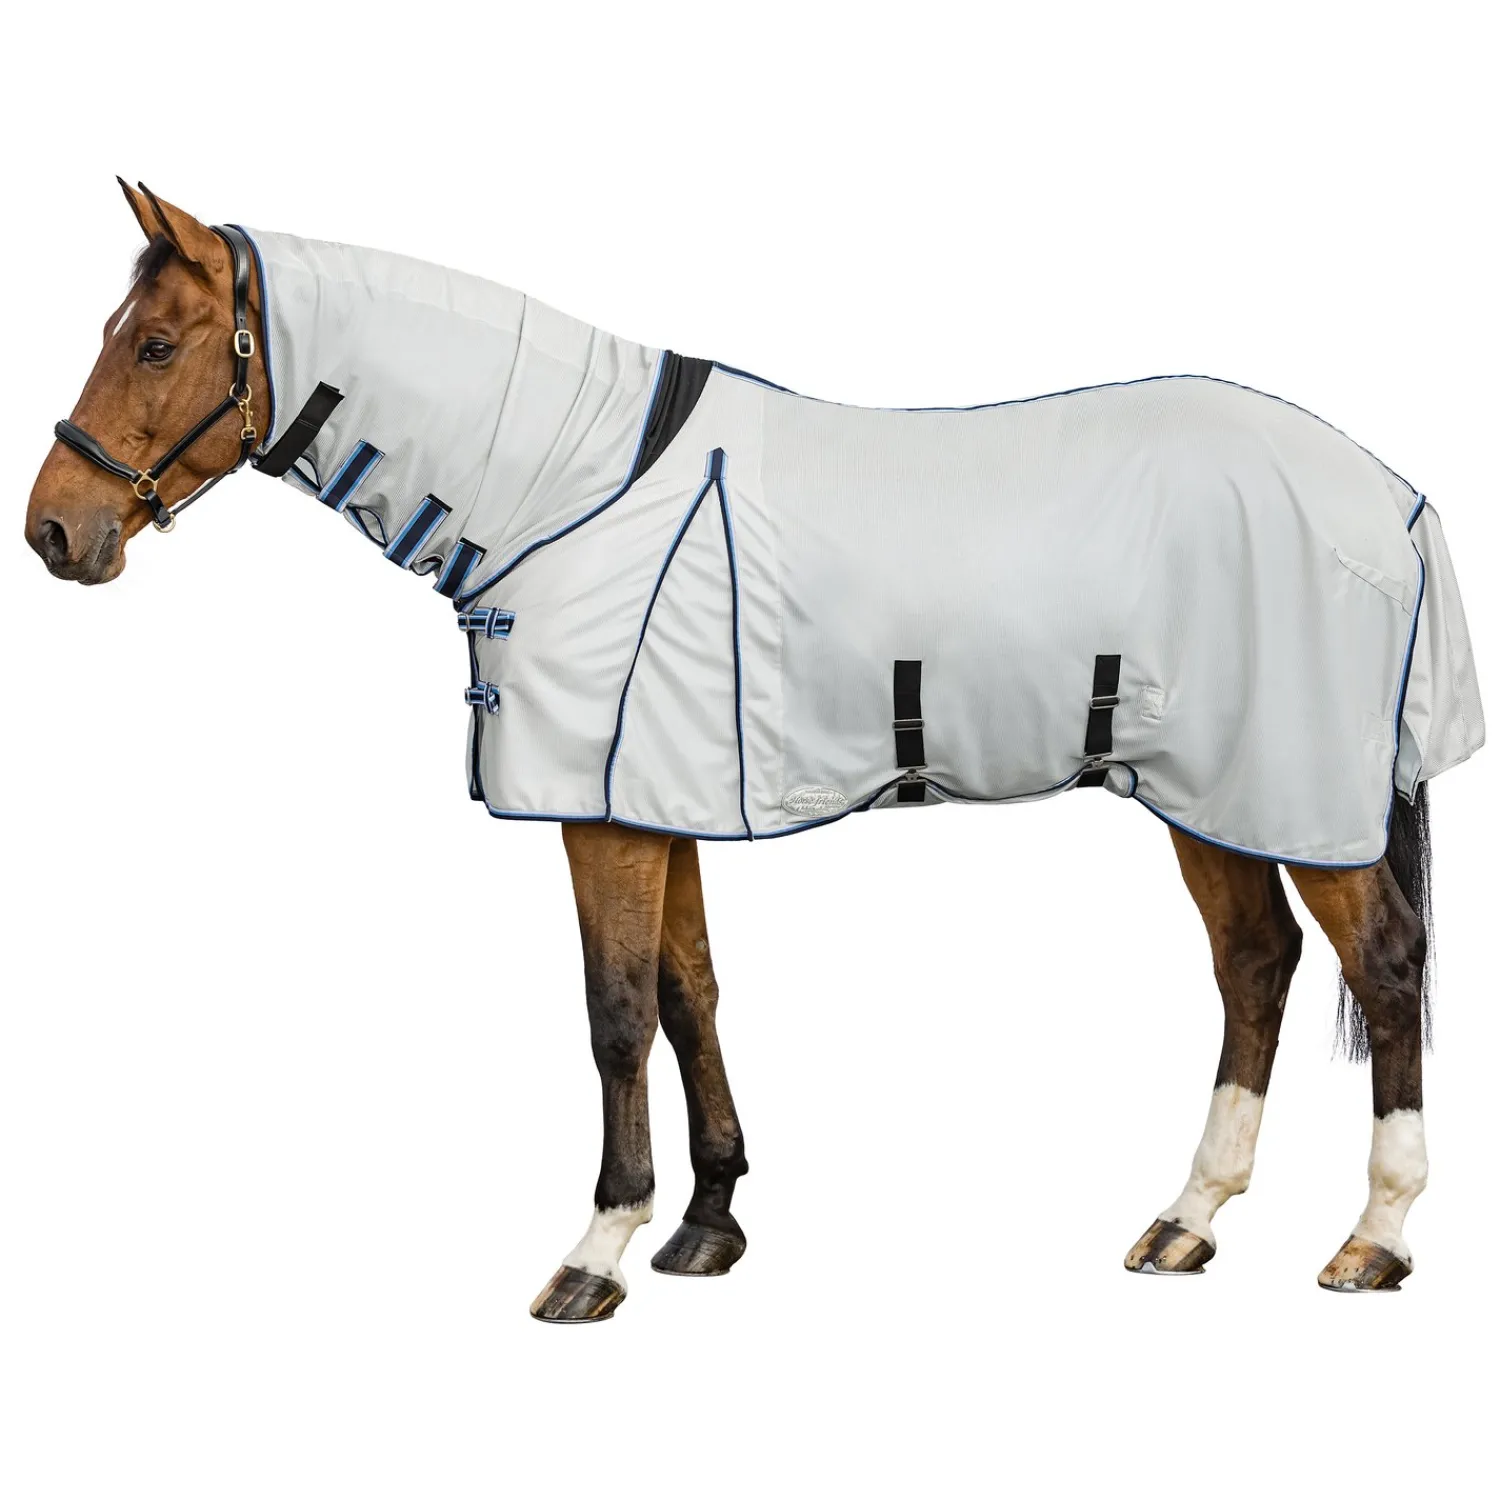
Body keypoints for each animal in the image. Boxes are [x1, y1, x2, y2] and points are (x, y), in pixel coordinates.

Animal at [25, 181, 1484, 1322]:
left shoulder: (601, 817)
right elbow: (692, 997)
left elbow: (616, 1015)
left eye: (154, 342)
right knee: (1256, 964)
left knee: (1385, 966)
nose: (53, 530)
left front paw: (597, 1251)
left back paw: (1375, 1239)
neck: (572, 487)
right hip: (1209, 793)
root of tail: (1392, 498)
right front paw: (707, 1224)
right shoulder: (655, 802)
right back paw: (1188, 1220)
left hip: (1289, 793)